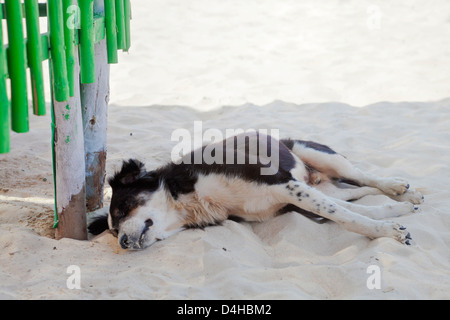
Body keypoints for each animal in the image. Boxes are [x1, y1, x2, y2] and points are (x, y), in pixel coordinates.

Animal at [89, 132, 424, 250]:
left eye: (123, 208)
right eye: (112, 231)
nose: (123, 243)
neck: (191, 196)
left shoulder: (284, 184)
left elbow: (347, 217)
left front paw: (388, 232)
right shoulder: (289, 196)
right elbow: (348, 212)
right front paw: (392, 222)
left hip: (319, 155)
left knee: (364, 177)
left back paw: (399, 187)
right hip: (319, 186)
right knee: (352, 196)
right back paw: (404, 203)